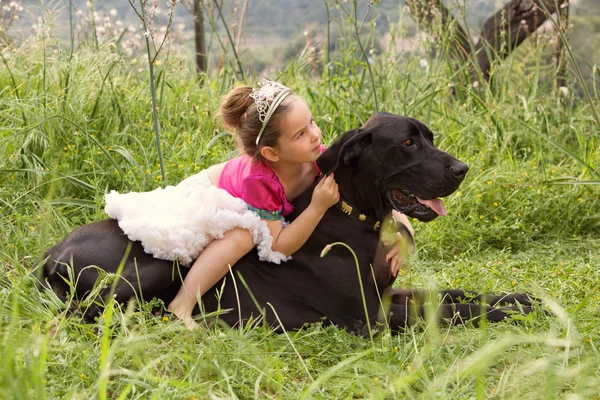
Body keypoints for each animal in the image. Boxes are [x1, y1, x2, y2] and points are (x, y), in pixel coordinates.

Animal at [38, 113, 536, 332]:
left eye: (428, 137)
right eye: (409, 143)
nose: (462, 169)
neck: (354, 216)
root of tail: (50, 254)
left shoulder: (388, 292)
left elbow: (457, 293)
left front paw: (523, 297)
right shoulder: (369, 315)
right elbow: (458, 310)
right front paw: (517, 311)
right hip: (155, 268)